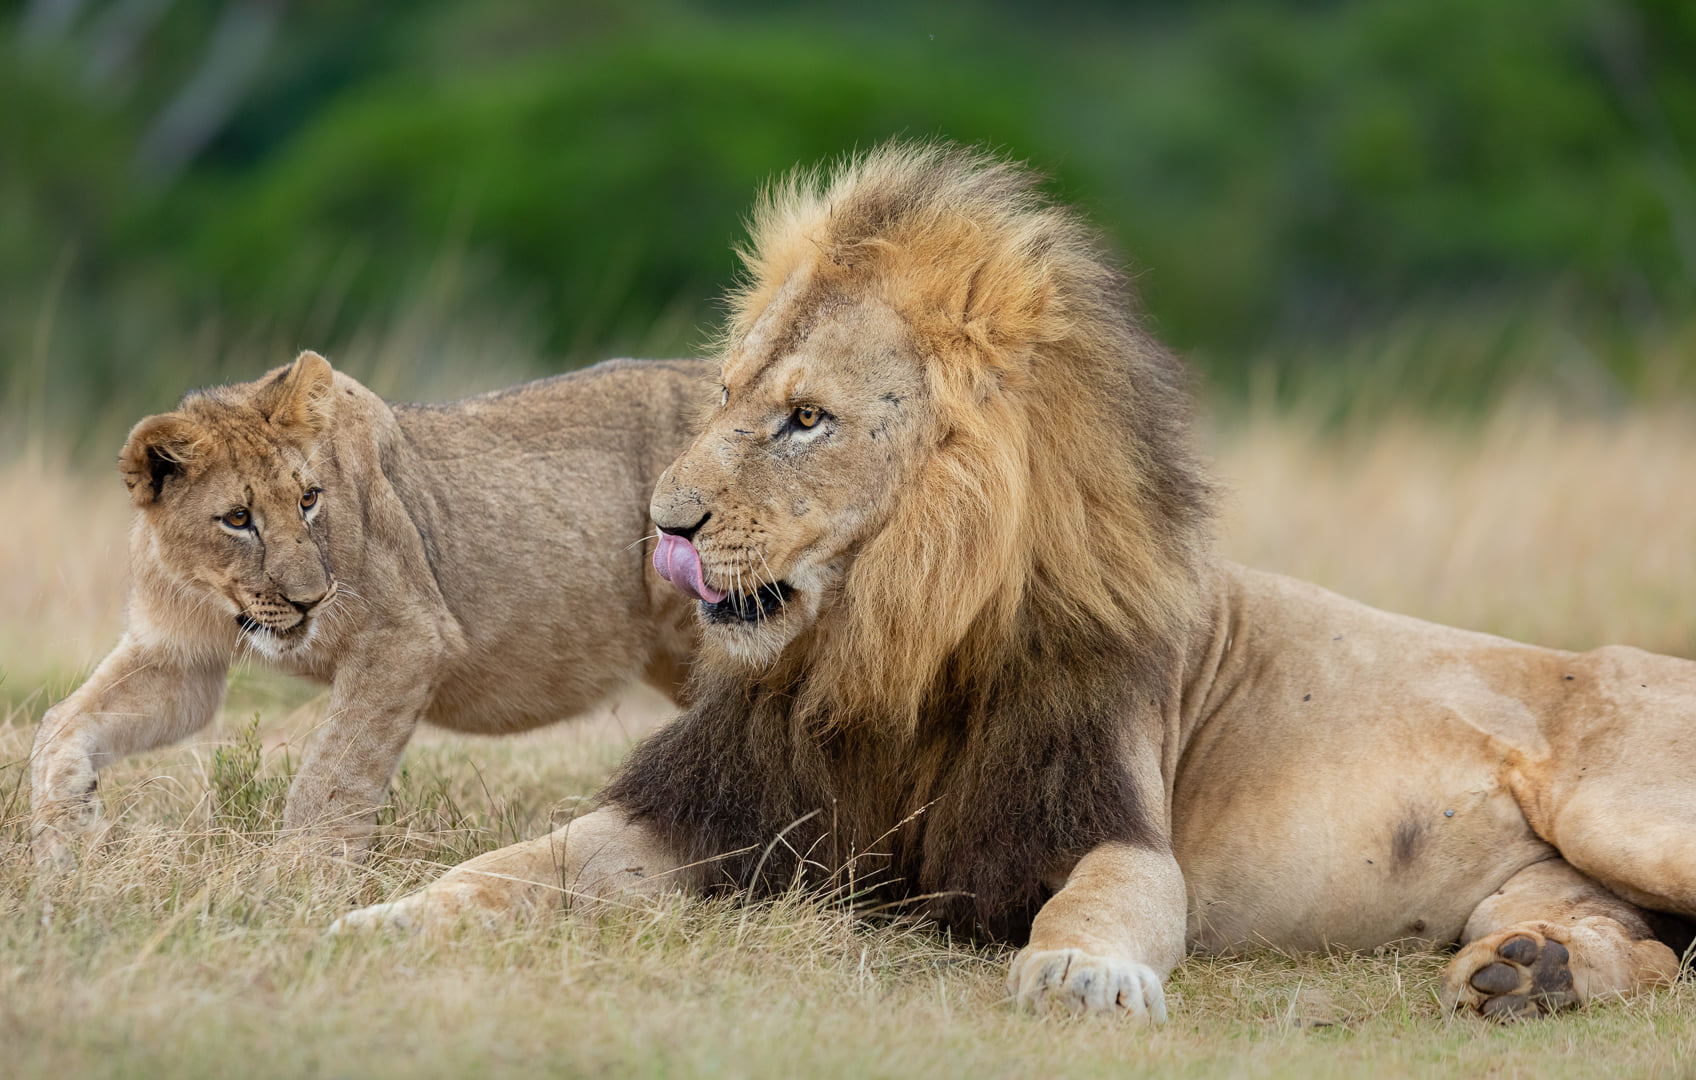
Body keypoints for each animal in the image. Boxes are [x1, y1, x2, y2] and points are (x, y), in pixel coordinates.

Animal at [33, 350, 708, 857]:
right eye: (238, 518)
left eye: (308, 499)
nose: (312, 600)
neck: (217, 598)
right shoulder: (180, 660)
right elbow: (57, 726)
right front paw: (68, 841)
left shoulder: (407, 635)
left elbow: (330, 776)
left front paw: (291, 893)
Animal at [334, 143, 1696, 1017]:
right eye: (725, 396)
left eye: (807, 419)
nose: (664, 522)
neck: (885, 646)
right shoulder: (716, 814)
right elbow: (514, 866)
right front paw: (380, 921)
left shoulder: (1103, 822)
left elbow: (1099, 904)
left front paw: (1083, 975)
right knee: (1651, 948)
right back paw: (1531, 972)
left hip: (1623, 811)